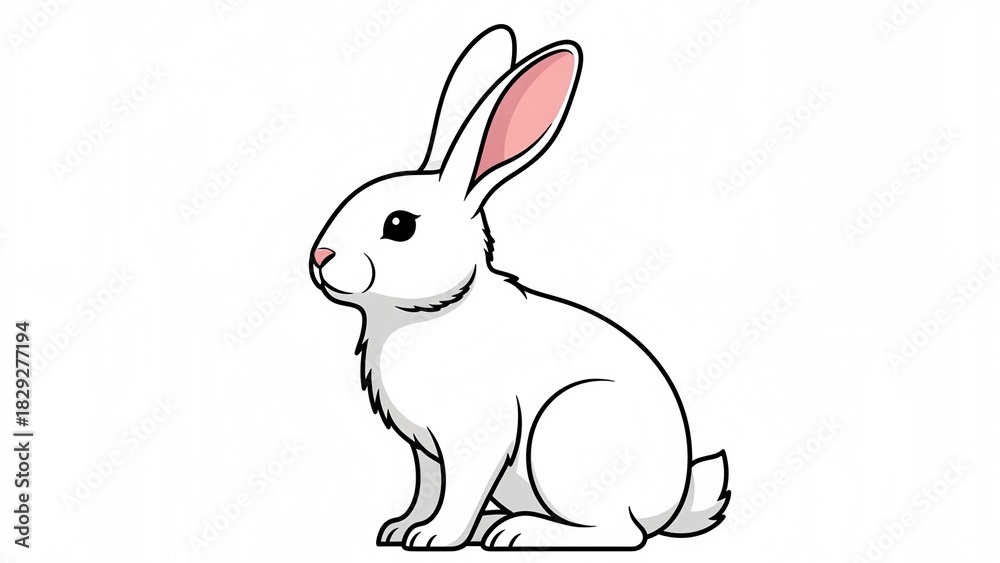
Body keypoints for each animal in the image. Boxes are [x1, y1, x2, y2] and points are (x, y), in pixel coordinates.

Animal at [310, 25, 729, 550]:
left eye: (399, 225)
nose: (320, 258)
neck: (434, 311)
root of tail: (670, 507)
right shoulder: (425, 451)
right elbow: (428, 488)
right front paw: (400, 529)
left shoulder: (477, 437)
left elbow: (457, 492)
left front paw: (433, 538)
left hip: (566, 431)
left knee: (619, 531)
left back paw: (515, 532)